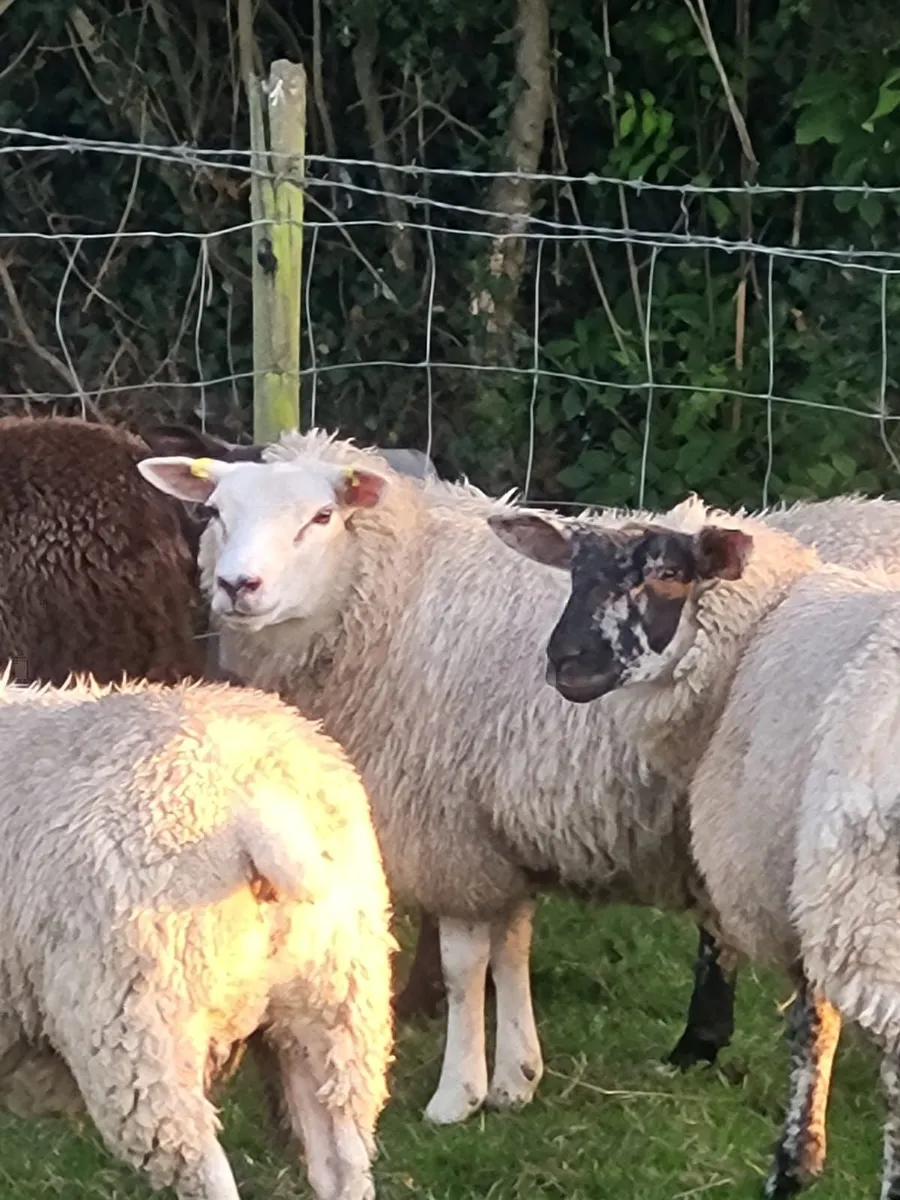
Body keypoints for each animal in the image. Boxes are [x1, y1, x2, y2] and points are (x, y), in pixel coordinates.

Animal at [488, 494, 900, 1197]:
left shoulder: (790, 884)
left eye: (667, 575)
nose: (565, 661)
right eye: (573, 572)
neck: (758, 630)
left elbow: (809, 1029)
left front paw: (793, 1162)